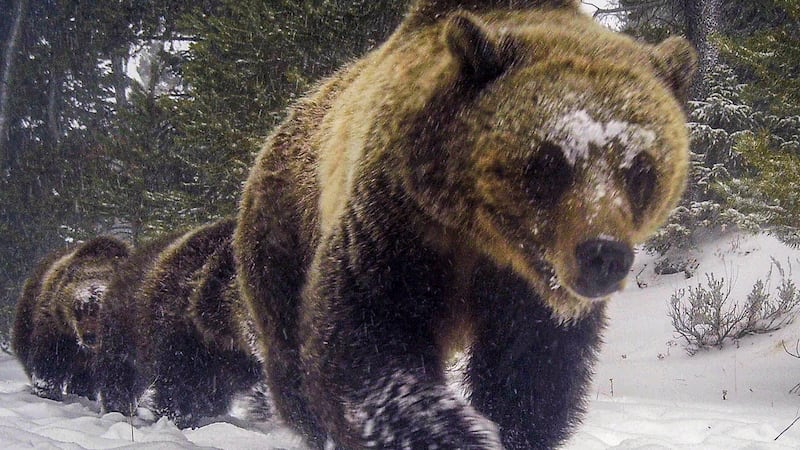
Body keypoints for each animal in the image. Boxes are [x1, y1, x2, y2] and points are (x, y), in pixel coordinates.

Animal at [13, 236, 130, 401]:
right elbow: (50, 356)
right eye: (79, 308)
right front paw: (47, 390)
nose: (89, 336)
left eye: (101, 311)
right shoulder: (57, 326)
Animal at [233, 0, 696, 448]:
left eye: (641, 169)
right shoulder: (397, 228)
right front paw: (453, 433)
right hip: (283, 232)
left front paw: (510, 427)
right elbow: (366, 340)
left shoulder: (525, 292)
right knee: (289, 352)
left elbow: (531, 372)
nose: (603, 253)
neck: (483, 237)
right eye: (549, 162)